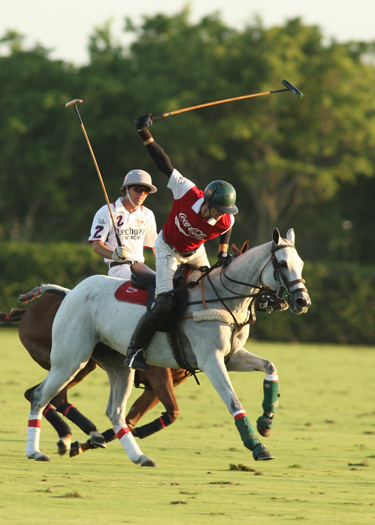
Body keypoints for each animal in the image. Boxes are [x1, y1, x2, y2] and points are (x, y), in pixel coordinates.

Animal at [2, 292, 191, 456]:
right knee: (54, 397)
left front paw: (86, 444)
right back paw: (81, 433)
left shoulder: (155, 388)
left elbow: (134, 418)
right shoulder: (158, 376)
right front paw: (87, 444)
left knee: (35, 394)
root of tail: (28, 311)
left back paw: (68, 436)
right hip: (72, 363)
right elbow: (169, 413)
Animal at [26, 227, 312, 464]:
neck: (223, 297)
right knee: (40, 395)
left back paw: (138, 456)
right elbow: (232, 401)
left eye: (300, 263)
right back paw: (36, 451)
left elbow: (270, 366)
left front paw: (266, 421)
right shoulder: (210, 359)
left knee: (115, 411)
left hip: (118, 366)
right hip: (71, 360)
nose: (302, 302)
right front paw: (257, 446)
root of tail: (70, 292)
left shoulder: (231, 357)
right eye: (282, 263)